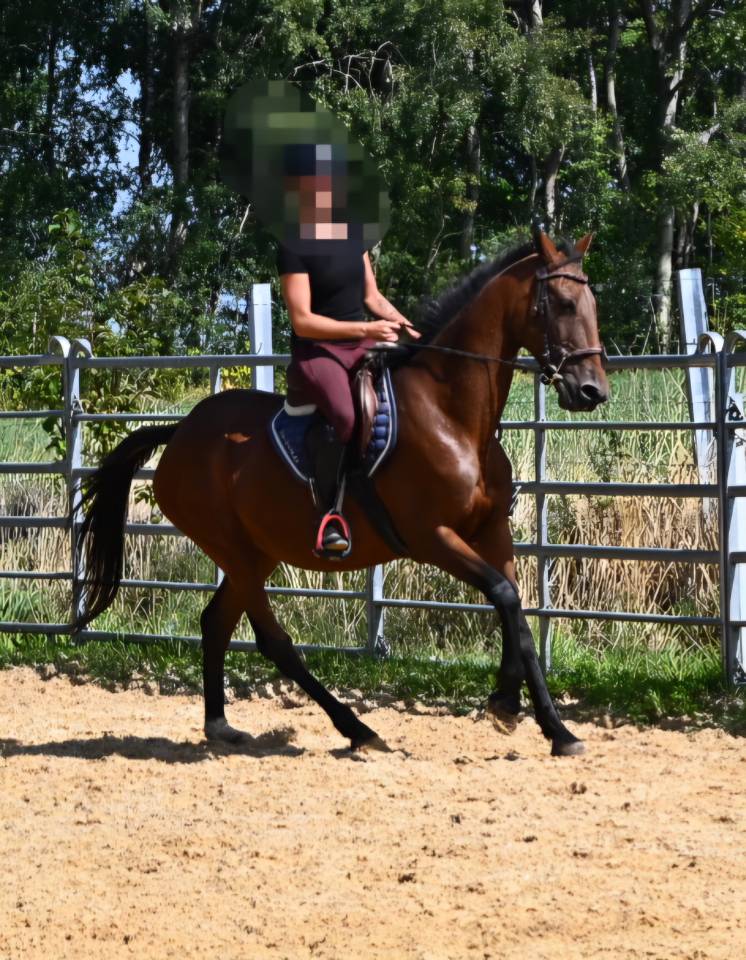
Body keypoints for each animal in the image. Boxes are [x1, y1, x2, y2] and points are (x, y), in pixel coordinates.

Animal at [76, 230, 608, 757]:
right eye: (563, 304)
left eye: (592, 303)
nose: (592, 391)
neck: (451, 415)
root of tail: (180, 432)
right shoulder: (432, 537)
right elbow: (503, 596)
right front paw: (518, 709)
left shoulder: (492, 531)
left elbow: (518, 612)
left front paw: (544, 723)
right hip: (236, 552)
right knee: (272, 641)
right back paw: (358, 729)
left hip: (257, 552)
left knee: (216, 623)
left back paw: (221, 724)